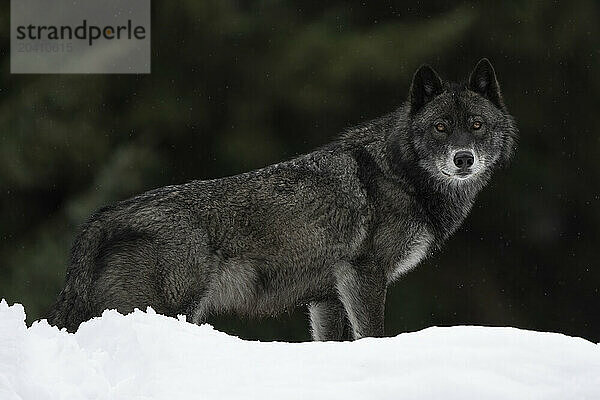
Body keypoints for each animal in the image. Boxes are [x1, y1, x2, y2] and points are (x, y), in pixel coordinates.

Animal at [47, 59, 516, 340]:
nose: (463, 158)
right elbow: (372, 336)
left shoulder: (327, 296)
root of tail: (108, 213)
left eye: (476, 125)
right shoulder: (363, 276)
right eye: (440, 128)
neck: (401, 173)